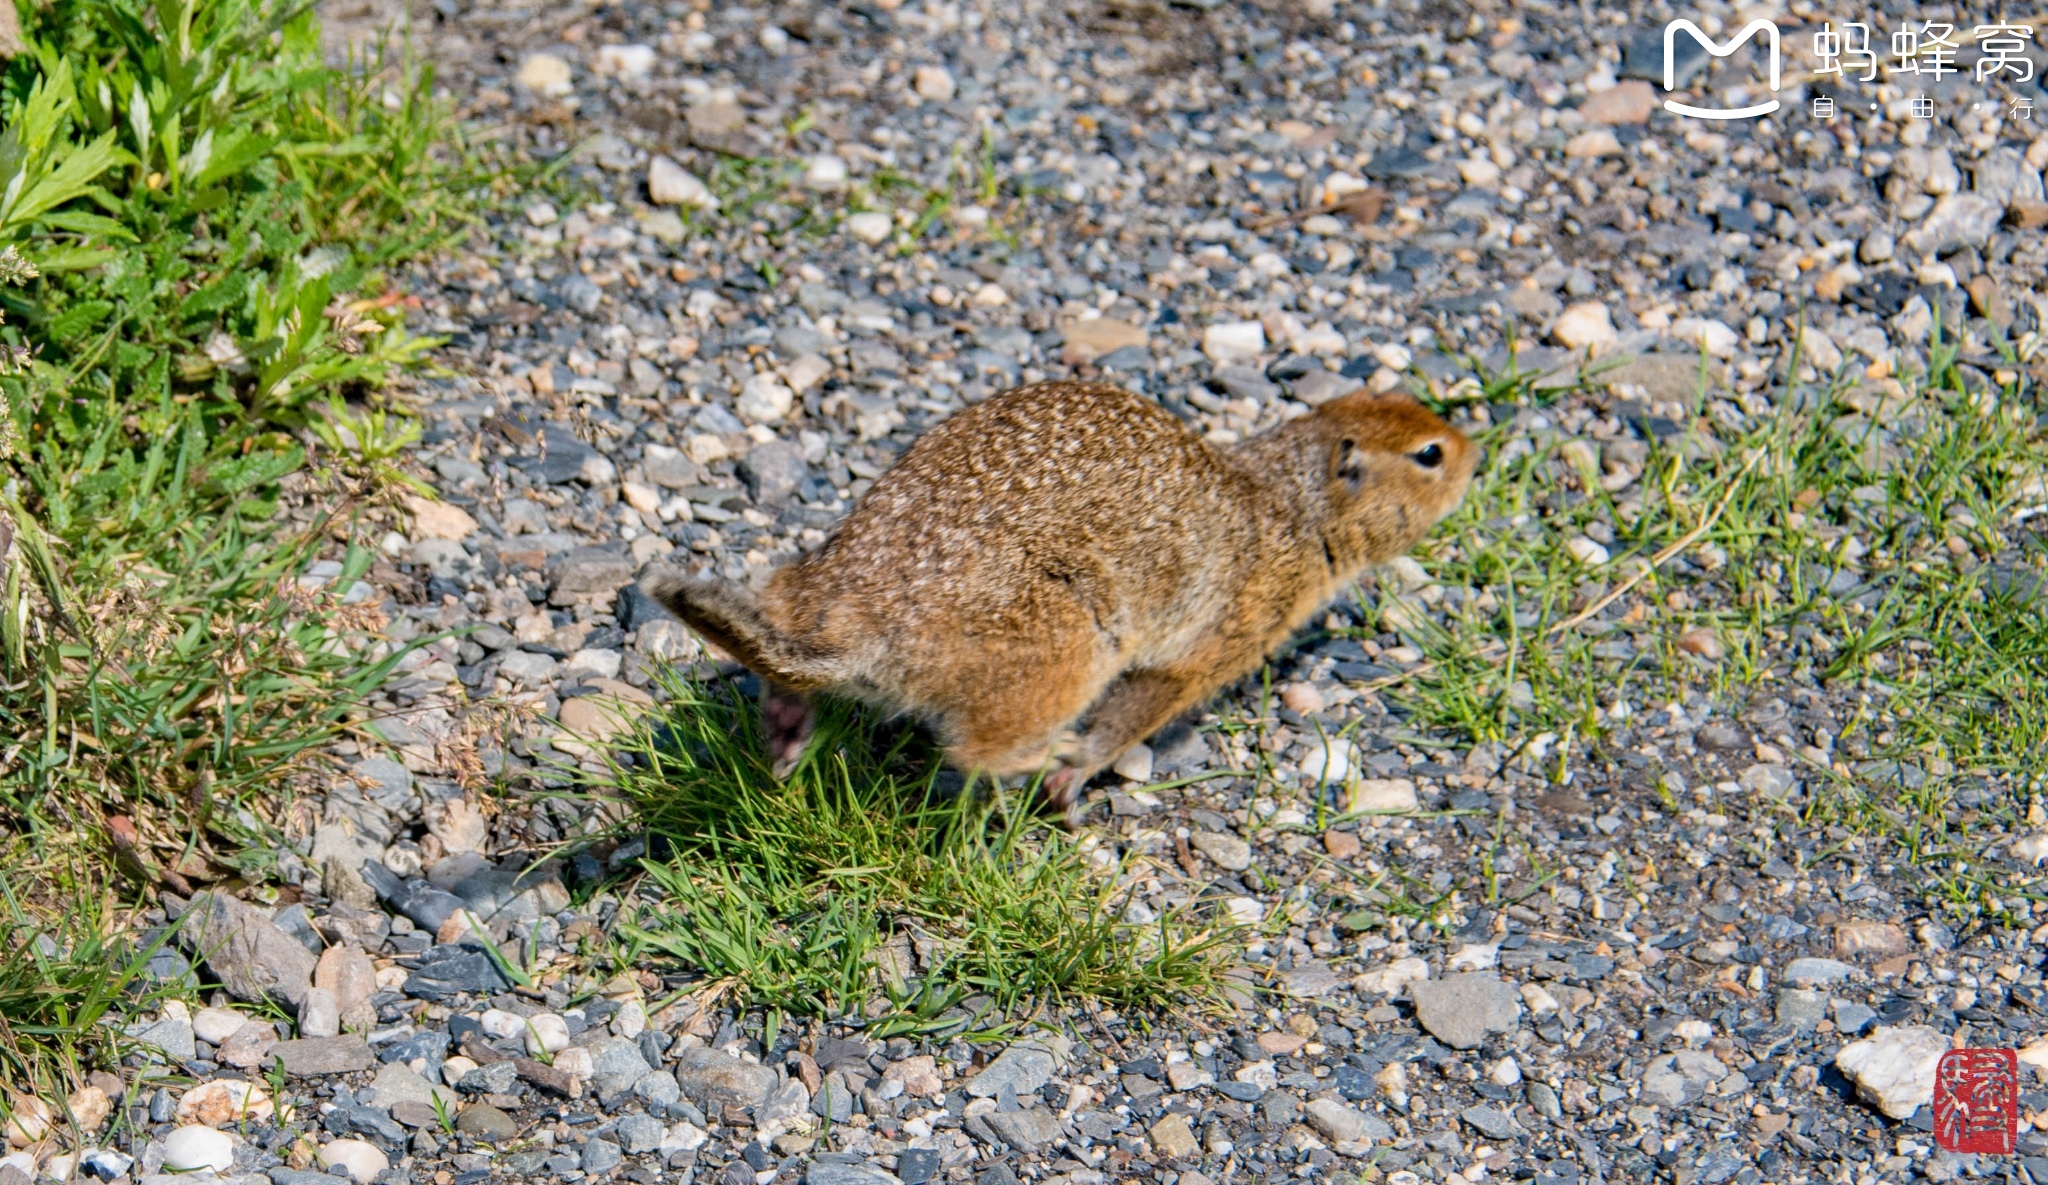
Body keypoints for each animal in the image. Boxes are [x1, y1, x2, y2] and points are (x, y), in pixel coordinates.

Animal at [638, 384, 1474, 822]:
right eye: (1429, 455)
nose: (1475, 447)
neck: (1290, 502)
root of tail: (861, 629)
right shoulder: (1223, 633)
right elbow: (1143, 705)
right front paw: (1083, 766)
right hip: (1065, 646)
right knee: (978, 747)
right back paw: (1048, 756)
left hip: (805, 578)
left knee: (779, 634)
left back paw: (785, 727)